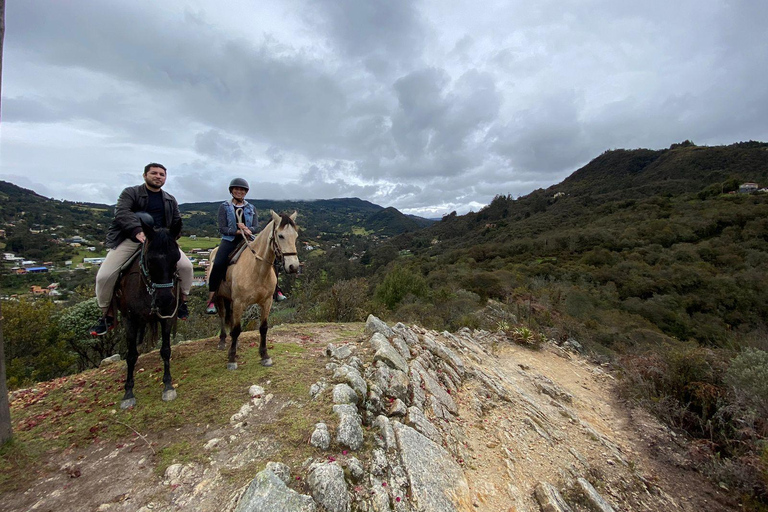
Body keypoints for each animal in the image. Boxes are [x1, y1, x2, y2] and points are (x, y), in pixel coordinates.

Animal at [115, 214, 182, 410]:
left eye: (176, 258)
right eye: (150, 260)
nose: (165, 299)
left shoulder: (167, 317)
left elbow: (166, 350)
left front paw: (168, 386)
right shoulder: (128, 319)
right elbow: (130, 355)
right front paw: (128, 392)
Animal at [208, 211, 302, 368]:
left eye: (296, 236)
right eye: (281, 236)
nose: (293, 266)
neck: (257, 270)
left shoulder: (267, 302)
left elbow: (263, 328)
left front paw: (265, 356)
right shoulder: (239, 302)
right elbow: (236, 329)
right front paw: (232, 359)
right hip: (219, 297)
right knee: (222, 316)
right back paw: (222, 340)